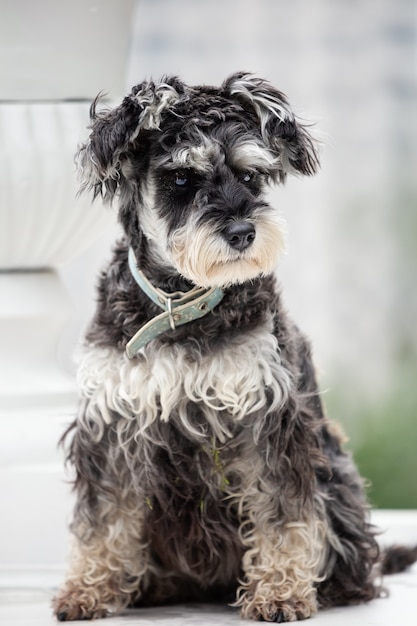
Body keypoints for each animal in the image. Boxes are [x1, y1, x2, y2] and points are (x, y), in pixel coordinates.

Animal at [52, 73, 412, 620]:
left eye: (250, 176)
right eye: (182, 178)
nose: (243, 232)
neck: (180, 302)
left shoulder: (267, 418)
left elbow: (282, 514)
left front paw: (280, 592)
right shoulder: (112, 422)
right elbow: (103, 516)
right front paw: (88, 588)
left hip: (337, 484)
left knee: (355, 564)